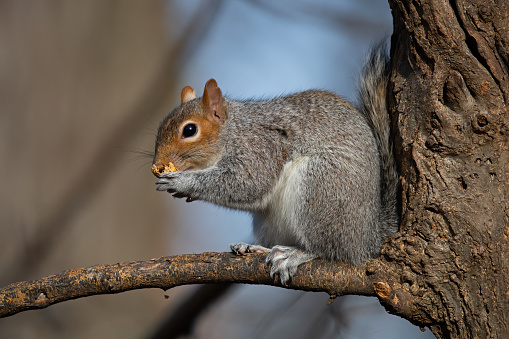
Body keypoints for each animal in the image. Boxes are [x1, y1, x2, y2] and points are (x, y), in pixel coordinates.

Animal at [153, 43, 398, 286]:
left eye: (189, 130)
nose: (157, 165)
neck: (233, 131)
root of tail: (368, 238)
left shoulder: (261, 148)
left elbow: (246, 183)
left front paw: (182, 183)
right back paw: (256, 248)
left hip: (321, 187)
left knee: (332, 250)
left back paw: (296, 254)